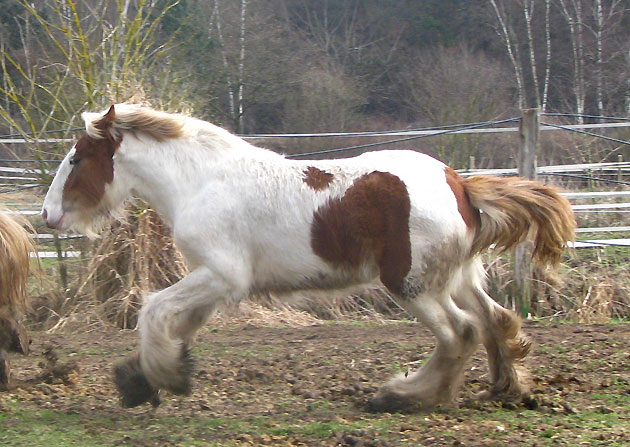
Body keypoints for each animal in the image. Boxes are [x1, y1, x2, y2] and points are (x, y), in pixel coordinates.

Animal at [42, 104, 576, 410]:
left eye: (76, 157)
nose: (48, 215)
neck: (202, 180)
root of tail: (460, 185)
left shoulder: (222, 276)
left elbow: (153, 309)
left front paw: (161, 378)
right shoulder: (211, 281)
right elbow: (178, 325)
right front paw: (144, 379)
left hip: (413, 285)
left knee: (458, 332)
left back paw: (404, 396)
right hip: (459, 276)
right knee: (494, 320)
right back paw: (506, 388)